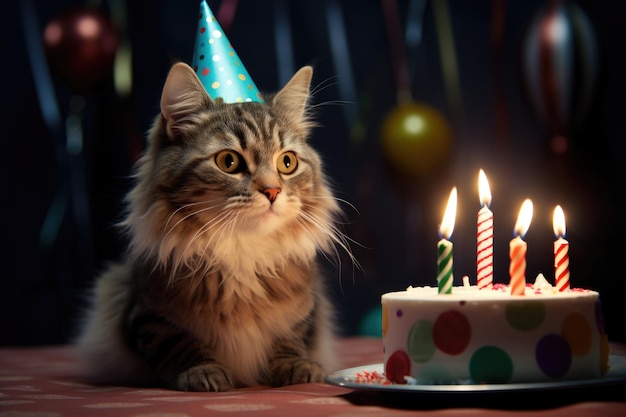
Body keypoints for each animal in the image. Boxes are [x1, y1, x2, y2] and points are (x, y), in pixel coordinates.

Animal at [74, 61, 352, 390]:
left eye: (287, 163)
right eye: (229, 162)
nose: (272, 191)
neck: (242, 251)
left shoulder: (306, 310)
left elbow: (292, 338)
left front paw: (296, 367)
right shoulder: (148, 313)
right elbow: (180, 344)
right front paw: (204, 372)